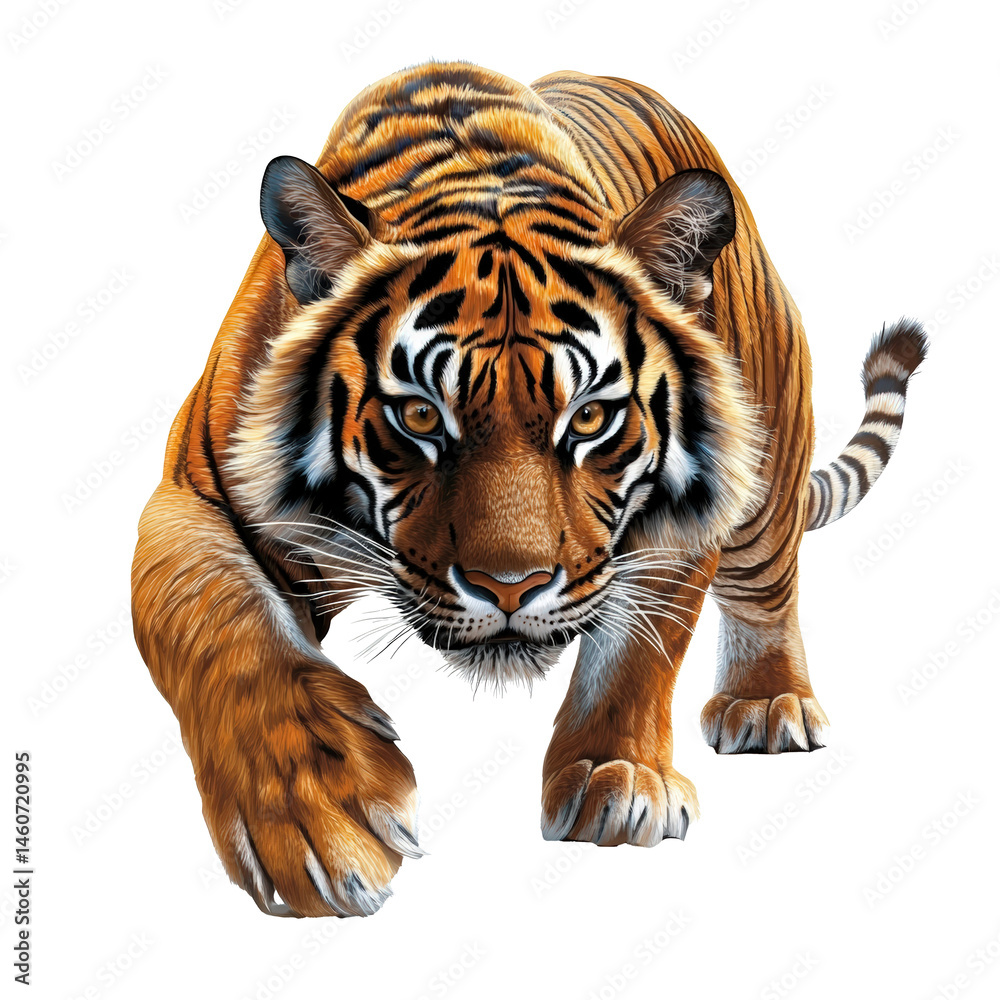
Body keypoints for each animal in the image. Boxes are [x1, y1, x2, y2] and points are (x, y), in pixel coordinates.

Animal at [131, 60, 927, 918]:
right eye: (420, 413)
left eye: (591, 417)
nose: (510, 588)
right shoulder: (195, 496)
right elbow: (221, 619)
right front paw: (317, 817)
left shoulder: (673, 526)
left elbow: (637, 653)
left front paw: (618, 778)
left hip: (767, 466)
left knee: (767, 587)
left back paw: (767, 703)